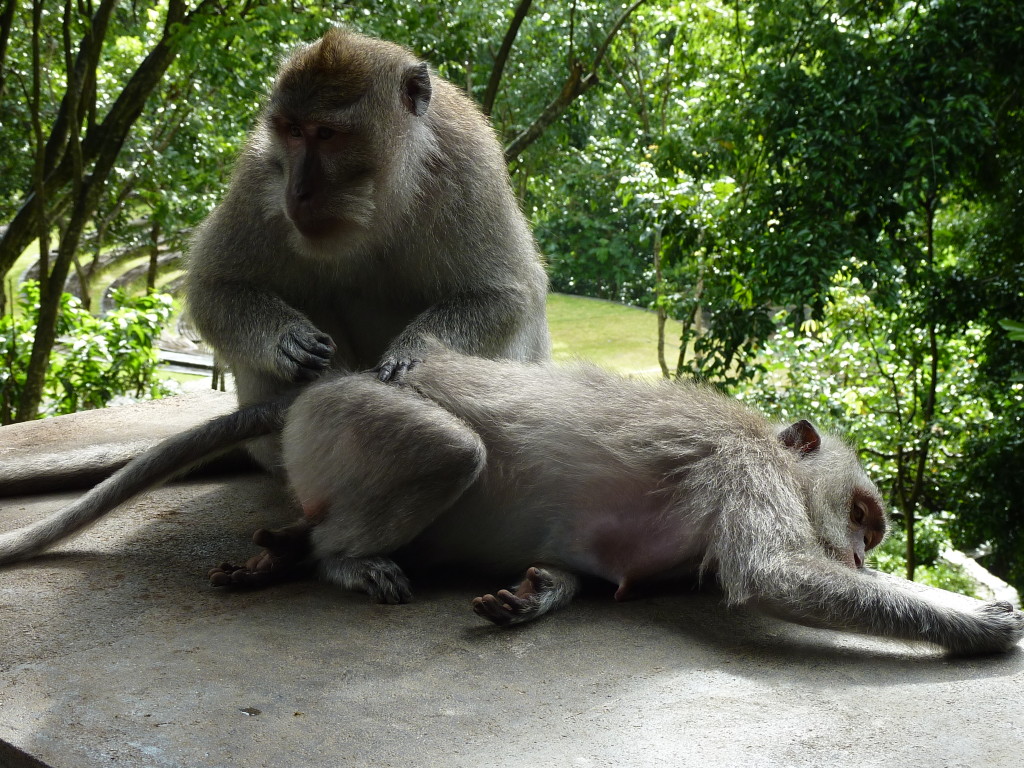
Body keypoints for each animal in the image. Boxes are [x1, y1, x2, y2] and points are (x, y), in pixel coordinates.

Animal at [4, 346, 1020, 656]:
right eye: (863, 518)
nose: (865, 556)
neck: (769, 450)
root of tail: (314, 387)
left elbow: (594, 570)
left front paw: (539, 594)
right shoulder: (744, 470)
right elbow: (772, 572)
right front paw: (976, 619)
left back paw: (284, 550)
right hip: (353, 417)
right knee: (451, 450)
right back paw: (336, 559)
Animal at [184, 26, 551, 469]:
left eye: (327, 134)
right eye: (293, 130)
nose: (298, 191)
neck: (382, 195)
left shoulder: (468, 164)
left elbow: (506, 295)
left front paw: (412, 354)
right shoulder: (259, 173)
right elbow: (215, 286)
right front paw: (287, 340)